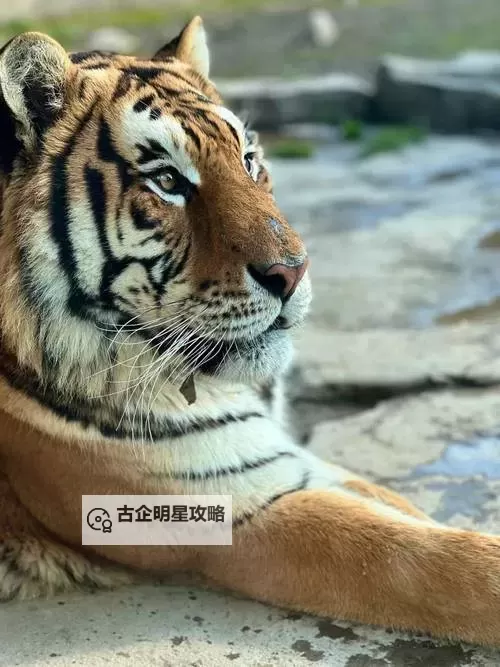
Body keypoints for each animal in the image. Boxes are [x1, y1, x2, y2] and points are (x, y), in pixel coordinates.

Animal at [0, 15, 499, 647]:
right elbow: (431, 561)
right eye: (167, 180)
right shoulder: (236, 511)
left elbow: (401, 506)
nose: (294, 271)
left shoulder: (283, 460)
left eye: (249, 158)